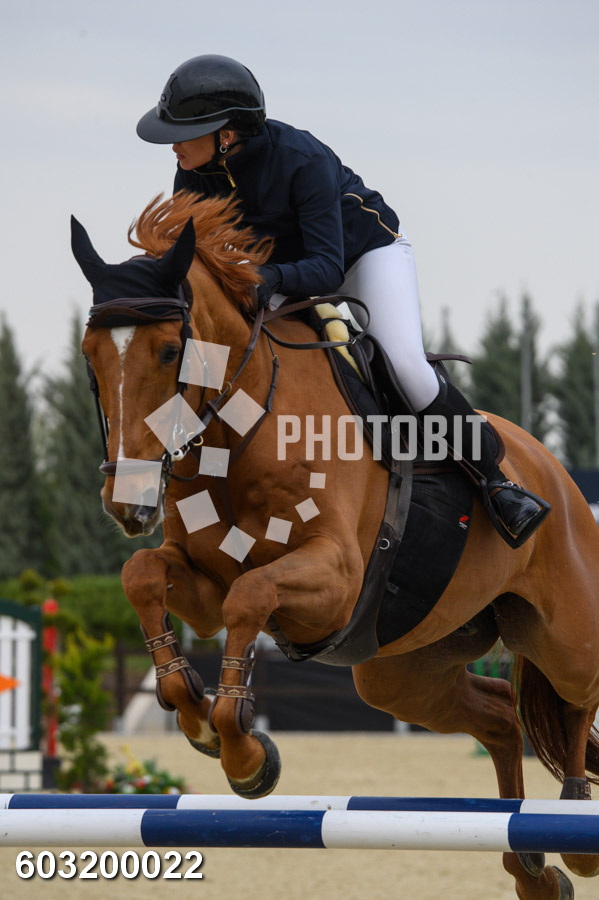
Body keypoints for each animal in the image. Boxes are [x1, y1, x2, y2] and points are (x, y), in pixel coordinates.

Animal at [73, 191, 599, 899]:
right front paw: (196, 714)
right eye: (91, 354)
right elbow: (145, 576)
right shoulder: (205, 585)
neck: (241, 432)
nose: (127, 500)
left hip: (565, 636)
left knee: (574, 700)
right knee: (498, 714)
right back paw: (534, 868)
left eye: (167, 351)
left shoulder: (337, 581)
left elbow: (251, 595)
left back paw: (575, 823)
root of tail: (557, 477)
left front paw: (244, 753)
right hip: (400, 670)